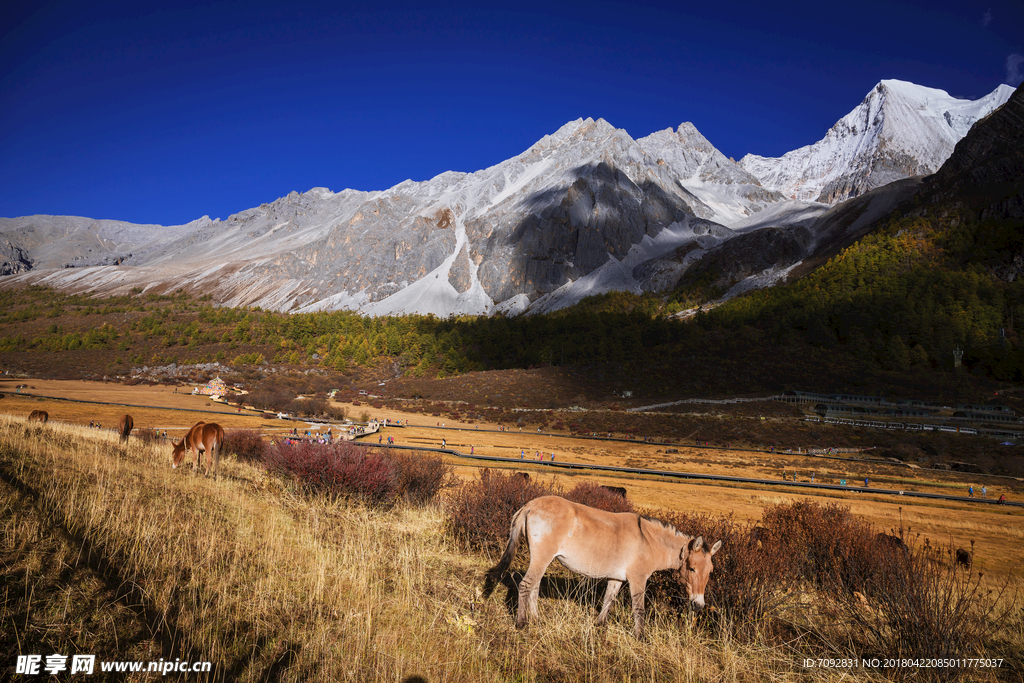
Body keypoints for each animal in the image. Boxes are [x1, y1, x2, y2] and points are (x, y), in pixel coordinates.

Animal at [483, 493, 724, 638]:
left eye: (710, 572)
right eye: (692, 569)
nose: (698, 606)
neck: (649, 542)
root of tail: (530, 505)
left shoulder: (617, 577)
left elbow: (609, 600)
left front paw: (599, 626)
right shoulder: (638, 579)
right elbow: (639, 609)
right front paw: (640, 637)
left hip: (543, 559)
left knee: (534, 586)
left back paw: (536, 619)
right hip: (542, 557)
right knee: (526, 585)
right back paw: (522, 623)